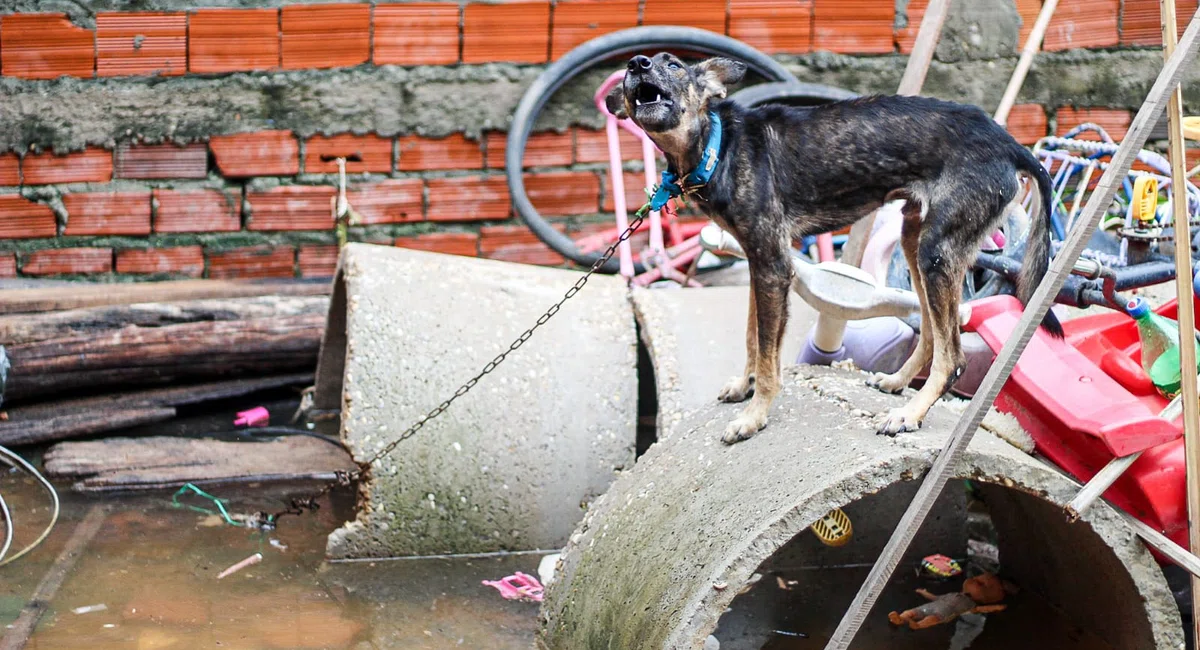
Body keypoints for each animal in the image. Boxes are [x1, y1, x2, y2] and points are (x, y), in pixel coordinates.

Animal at [609, 53, 1060, 443]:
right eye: (637, 65)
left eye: (673, 64)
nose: (636, 64)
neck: (718, 146)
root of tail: (1010, 144)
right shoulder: (758, 262)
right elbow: (754, 337)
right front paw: (744, 385)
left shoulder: (773, 265)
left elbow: (769, 357)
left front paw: (754, 417)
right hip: (916, 242)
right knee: (934, 333)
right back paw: (898, 383)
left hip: (937, 252)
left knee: (954, 357)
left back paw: (909, 415)